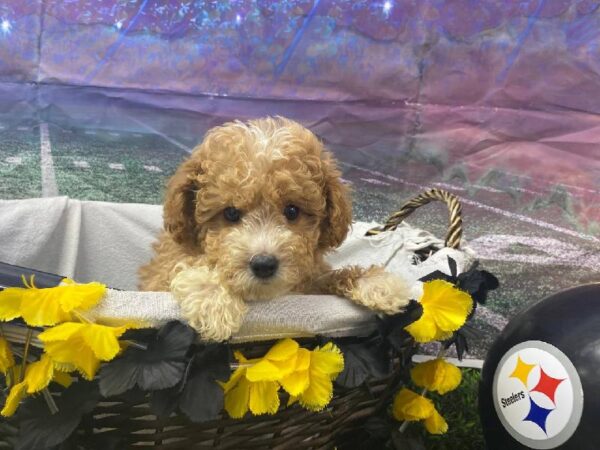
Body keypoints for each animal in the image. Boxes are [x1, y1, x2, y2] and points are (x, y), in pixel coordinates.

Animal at [140, 116, 410, 342]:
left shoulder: (310, 282)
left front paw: (375, 283)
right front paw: (213, 299)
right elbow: (186, 265)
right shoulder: (159, 276)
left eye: (292, 211)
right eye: (230, 213)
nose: (263, 264)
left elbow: (329, 276)